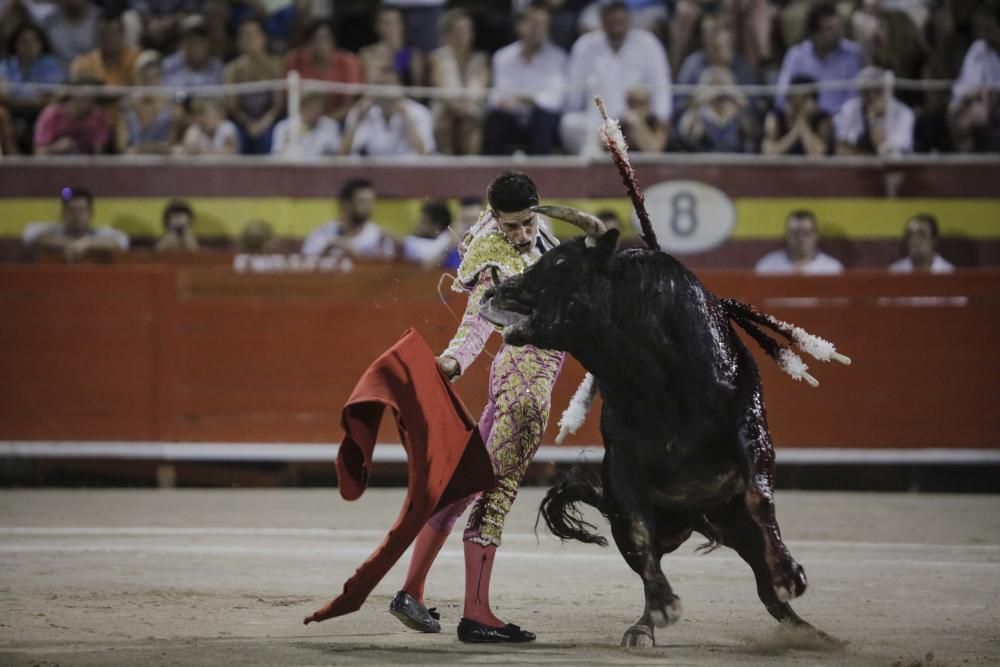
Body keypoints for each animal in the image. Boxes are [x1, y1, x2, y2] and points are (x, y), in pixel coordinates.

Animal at [480, 206, 848, 648]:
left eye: (562, 263)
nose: (491, 294)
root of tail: (690, 520)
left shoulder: (751, 428)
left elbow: (761, 496)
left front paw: (792, 575)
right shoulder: (623, 466)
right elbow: (641, 536)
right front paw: (662, 606)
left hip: (736, 523)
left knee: (766, 584)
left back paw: (812, 628)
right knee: (651, 557)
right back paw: (645, 624)